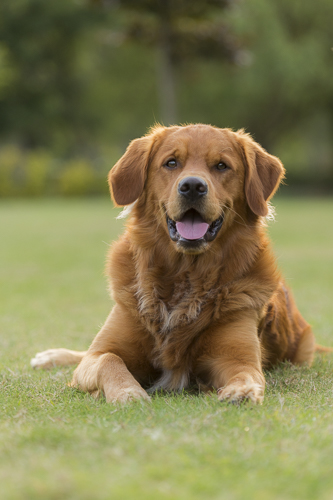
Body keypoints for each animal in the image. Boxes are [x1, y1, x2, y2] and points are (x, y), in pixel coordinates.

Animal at [30, 123, 322, 404]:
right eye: (171, 163)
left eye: (221, 165)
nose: (192, 186)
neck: (186, 274)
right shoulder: (103, 349)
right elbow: (107, 359)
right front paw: (128, 392)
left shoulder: (238, 356)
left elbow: (247, 373)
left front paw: (242, 391)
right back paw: (50, 356)